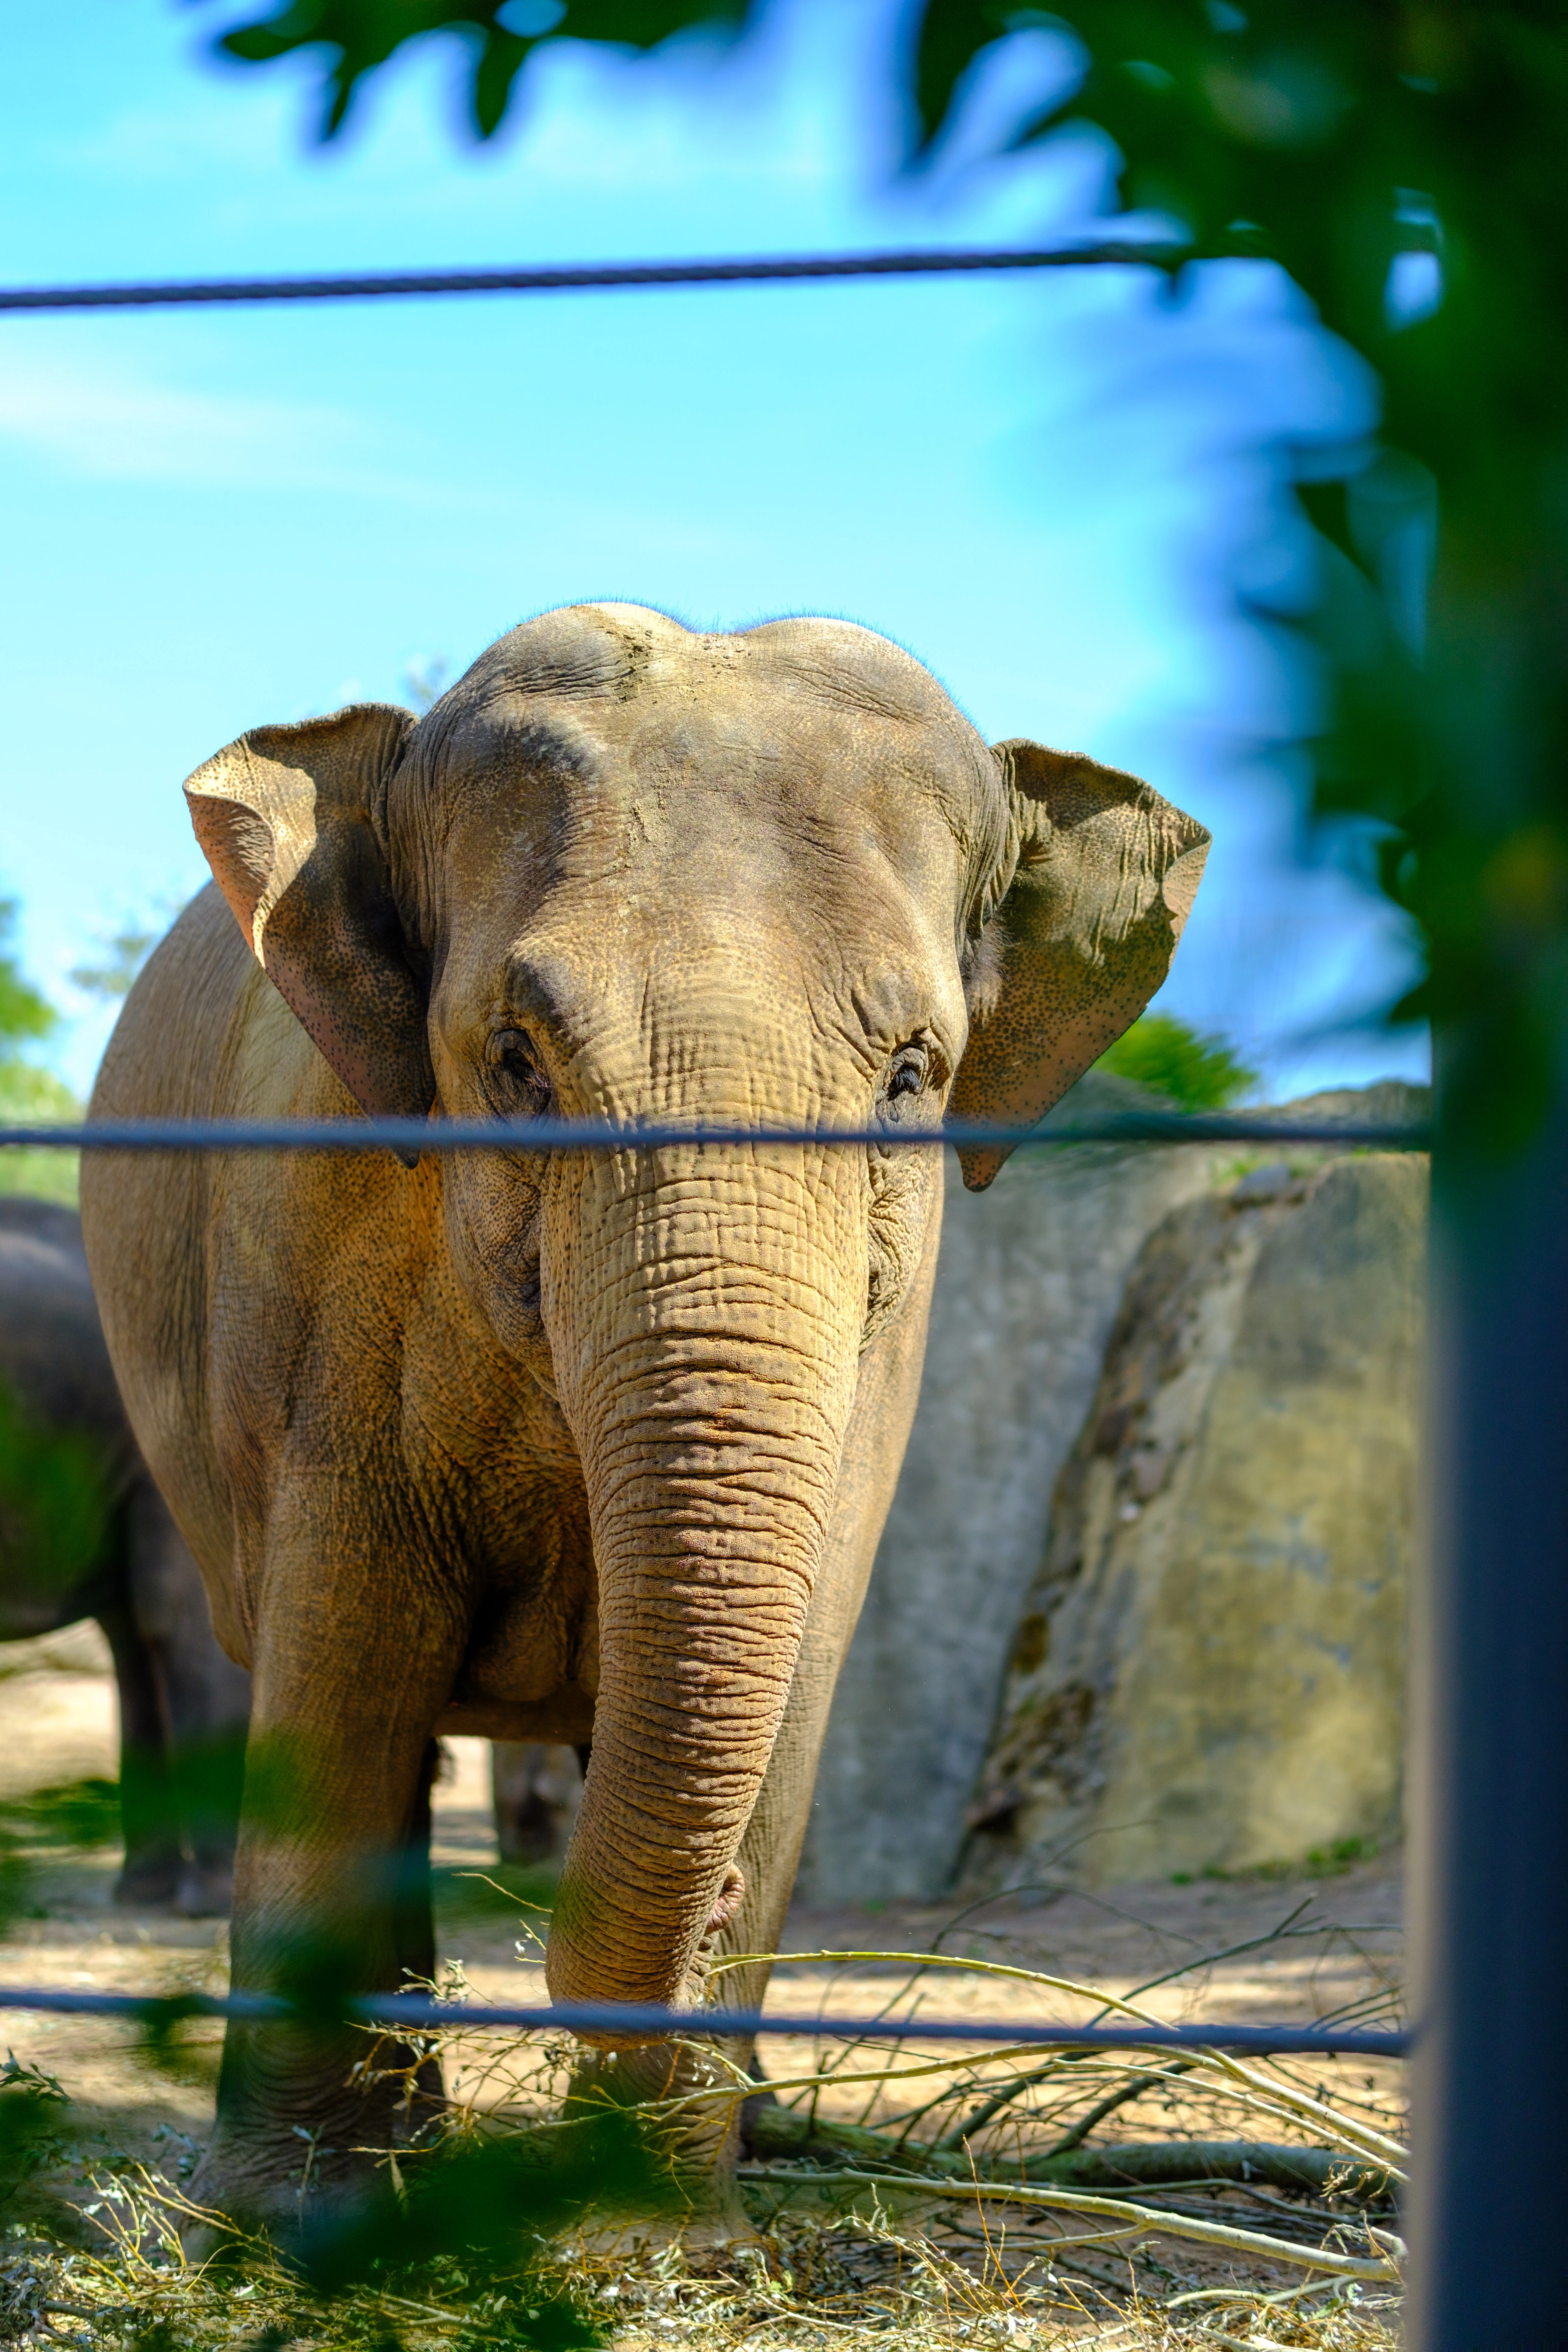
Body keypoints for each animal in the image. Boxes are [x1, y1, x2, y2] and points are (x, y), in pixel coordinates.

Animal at [80, 602, 1207, 2235]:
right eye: (514, 1061)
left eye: (912, 1073)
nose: (718, 1905)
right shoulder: (307, 1271)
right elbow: (348, 1657)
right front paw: (304, 2218)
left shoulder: (889, 1333)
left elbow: (795, 1677)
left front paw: (649, 2234)